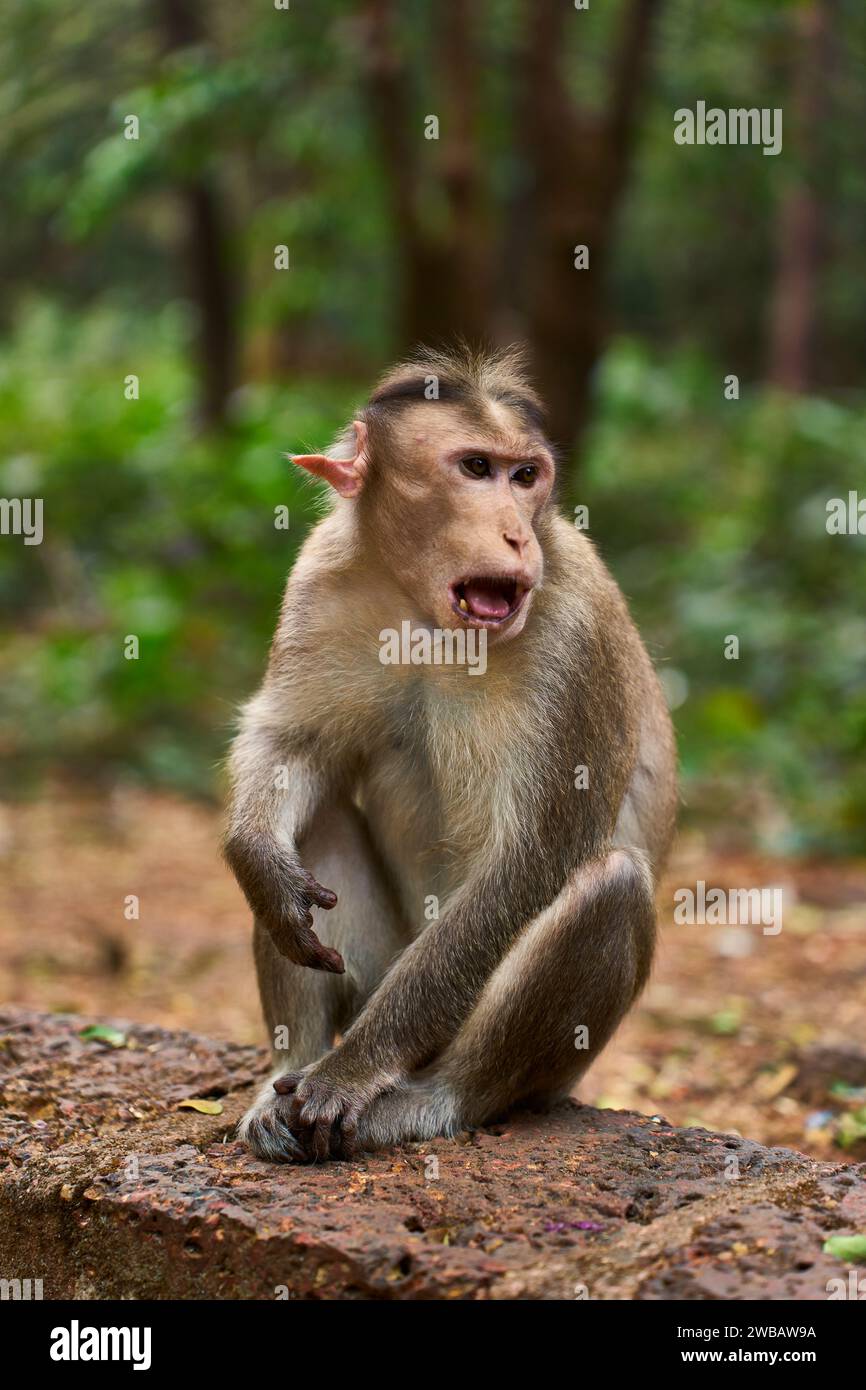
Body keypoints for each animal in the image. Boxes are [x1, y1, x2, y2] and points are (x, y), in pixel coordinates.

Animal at [224, 343, 677, 1164]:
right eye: (474, 467)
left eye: (525, 476)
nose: (517, 537)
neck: (426, 613)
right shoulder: (319, 578)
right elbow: (292, 741)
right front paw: (255, 857)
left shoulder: (576, 631)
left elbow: (526, 865)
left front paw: (349, 1073)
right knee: (317, 823)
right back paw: (285, 1072)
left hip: (543, 1064)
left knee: (610, 883)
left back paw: (428, 1098)